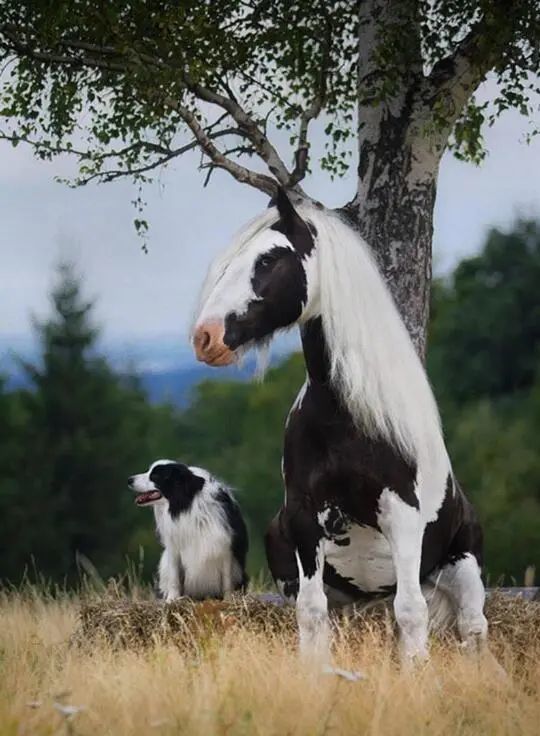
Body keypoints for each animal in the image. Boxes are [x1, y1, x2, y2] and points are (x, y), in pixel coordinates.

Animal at [129, 462, 249, 600]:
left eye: (155, 476)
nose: (129, 480)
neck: (186, 505)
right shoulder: (174, 547)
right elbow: (174, 576)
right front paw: (172, 599)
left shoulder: (225, 547)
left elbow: (227, 579)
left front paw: (228, 599)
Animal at [192, 187, 488, 668]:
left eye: (269, 259)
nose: (205, 337)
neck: (347, 418)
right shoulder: (304, 517)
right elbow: (311, 613)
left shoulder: (402, 515)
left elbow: (412, 612)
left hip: (464, 570)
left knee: (472, 628)